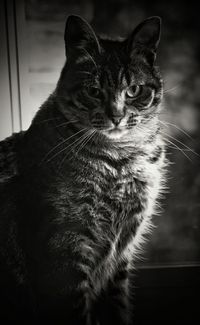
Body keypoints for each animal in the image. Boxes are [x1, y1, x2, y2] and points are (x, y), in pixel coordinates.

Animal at [0, 14, 166, 324]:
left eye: (134, 90)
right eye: (93, 91)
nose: (116, 116)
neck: (119, 162)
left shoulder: (120, 256)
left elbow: (118, 307)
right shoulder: (66, 253)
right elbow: (79, 311)